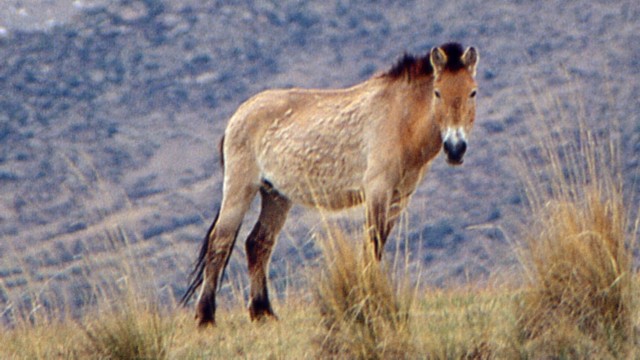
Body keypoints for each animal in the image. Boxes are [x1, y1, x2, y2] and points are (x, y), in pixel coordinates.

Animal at [182, 41, 478, 326]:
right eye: (437, 92)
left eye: (473, 92)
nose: (456, 148)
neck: (400, 117)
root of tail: (237, 116)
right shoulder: (377, 191)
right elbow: (372, 244)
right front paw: (369, 298)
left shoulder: (399, 197)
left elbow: (377, 245)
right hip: (240, 188)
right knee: (220, 242)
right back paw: (205, 316)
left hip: (276, 195)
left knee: (258, 244)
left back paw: (262, 313)